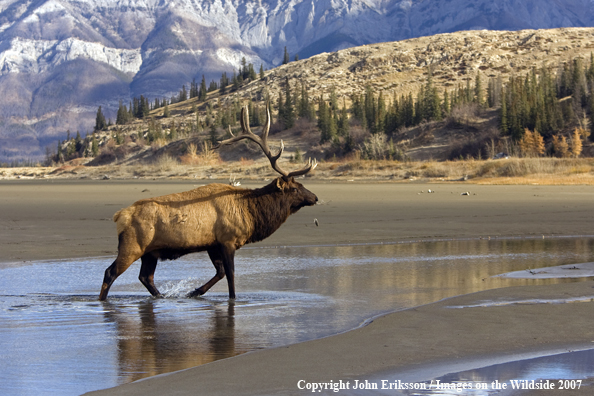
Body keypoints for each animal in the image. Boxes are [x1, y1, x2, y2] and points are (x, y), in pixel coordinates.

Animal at [99, 105, 316, 300]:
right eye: (295, 188)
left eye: (301, 184)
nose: (315, 197)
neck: (251, 213)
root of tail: (119, 216)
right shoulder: (228, 240)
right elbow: (230, 276)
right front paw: (231, 298)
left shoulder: (212, 245)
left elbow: (220, 273)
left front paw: (194, 292)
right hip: (132, 245)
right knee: (111, 272)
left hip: (150, 252)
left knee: (146, 277)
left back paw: (162, 296)